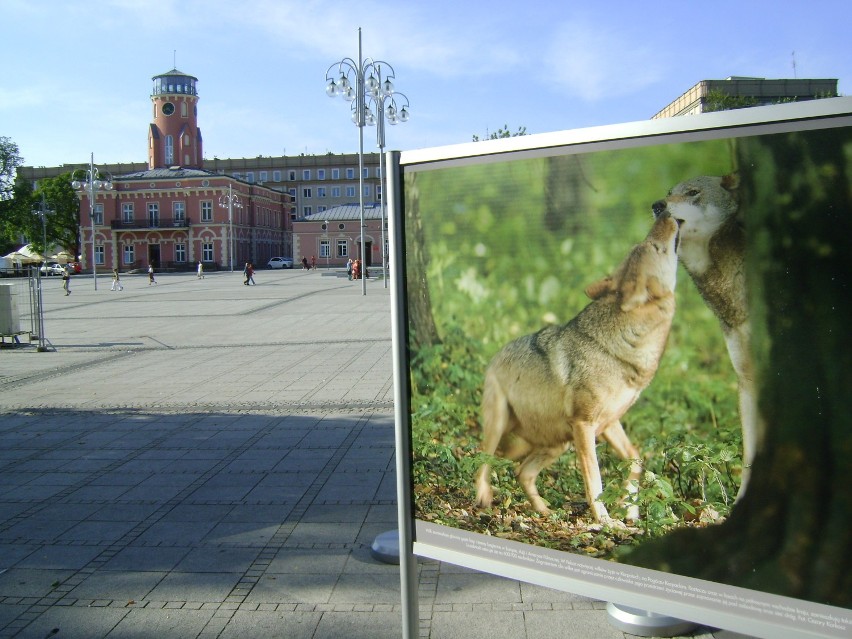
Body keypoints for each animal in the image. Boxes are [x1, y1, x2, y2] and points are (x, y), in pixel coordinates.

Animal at [480, 212, 680, 524]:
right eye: (655, 248)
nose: (664, 212)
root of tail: (497, 352)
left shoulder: (609, 423)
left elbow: (635, 460)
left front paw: (630, 509)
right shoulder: (584, 425)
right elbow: (595, 480)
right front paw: (605, 521)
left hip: (556, 443)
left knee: (521, 471)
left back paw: (545, 511)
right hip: (502, 424)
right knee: (482, 459)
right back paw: (483, 495)